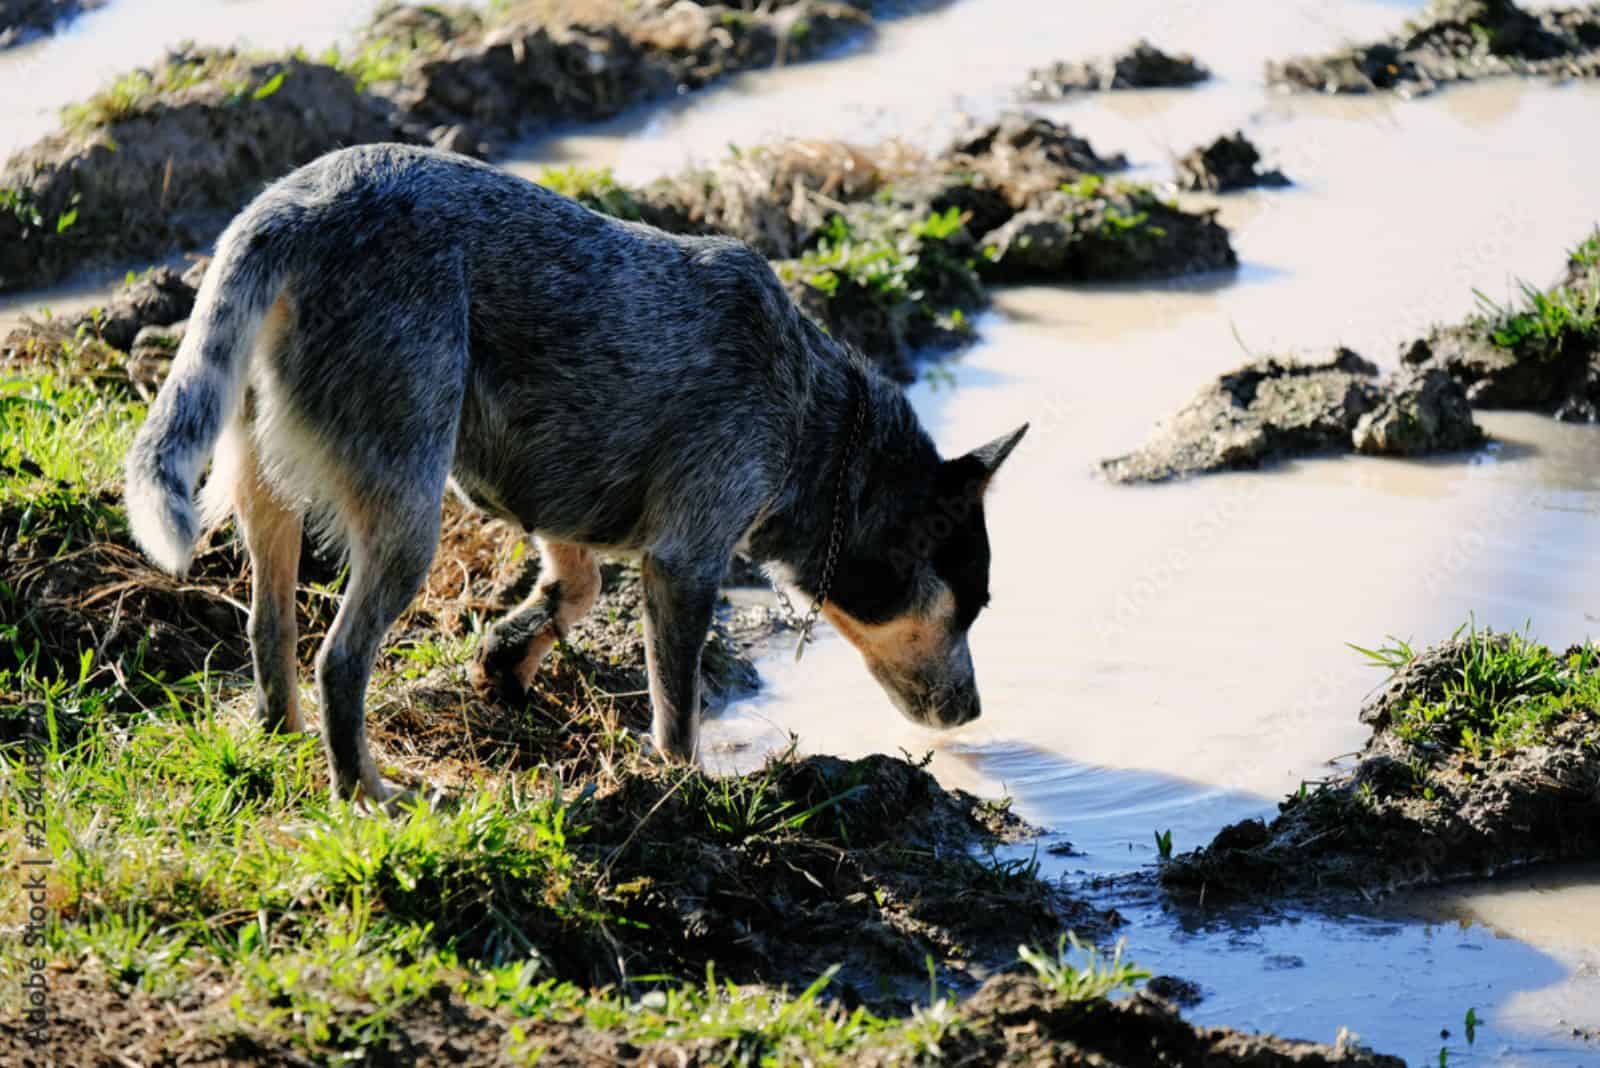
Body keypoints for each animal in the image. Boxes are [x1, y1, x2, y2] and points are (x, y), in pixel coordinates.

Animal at [121, 143, 1024, 799]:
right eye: (968, 606)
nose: (976, 708)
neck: (818, 425)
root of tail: (287, 212)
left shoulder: (558, 502)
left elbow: (576, 589)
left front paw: (505, 662)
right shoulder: (686, 559)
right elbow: (675, 706)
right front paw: (686, 788)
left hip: (261, 484)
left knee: (269, 629)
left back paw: (287, 740)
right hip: (407, 508)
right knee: (339, 658)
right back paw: (369, 792)